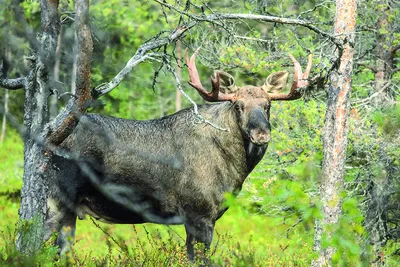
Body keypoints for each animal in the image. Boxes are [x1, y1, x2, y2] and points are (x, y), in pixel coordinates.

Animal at [46, 48, 312, 262]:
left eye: (268, 105)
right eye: (238, 106)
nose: (261, 134)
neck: (235, 167)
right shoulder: (199, 213)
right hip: (56, 200)